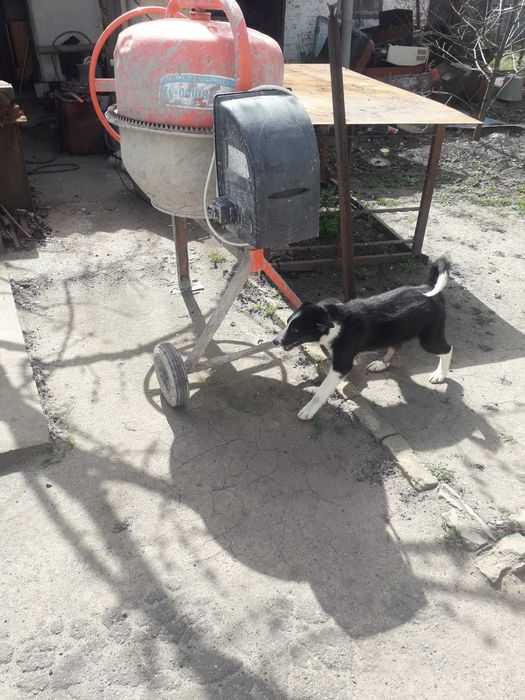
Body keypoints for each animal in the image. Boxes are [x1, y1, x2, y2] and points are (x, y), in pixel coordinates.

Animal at [274, 257, 453, 421]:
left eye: (296, 330)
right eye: (288, 323)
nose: (275, 341)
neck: (335, 321)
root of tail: (428, 287)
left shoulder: (341, 366)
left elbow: (322, 390)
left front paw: (309, 410)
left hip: (429, 339)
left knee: (448, 350)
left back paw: (440, 374)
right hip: (396, 331)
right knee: (396, 346)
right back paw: (381, 364)